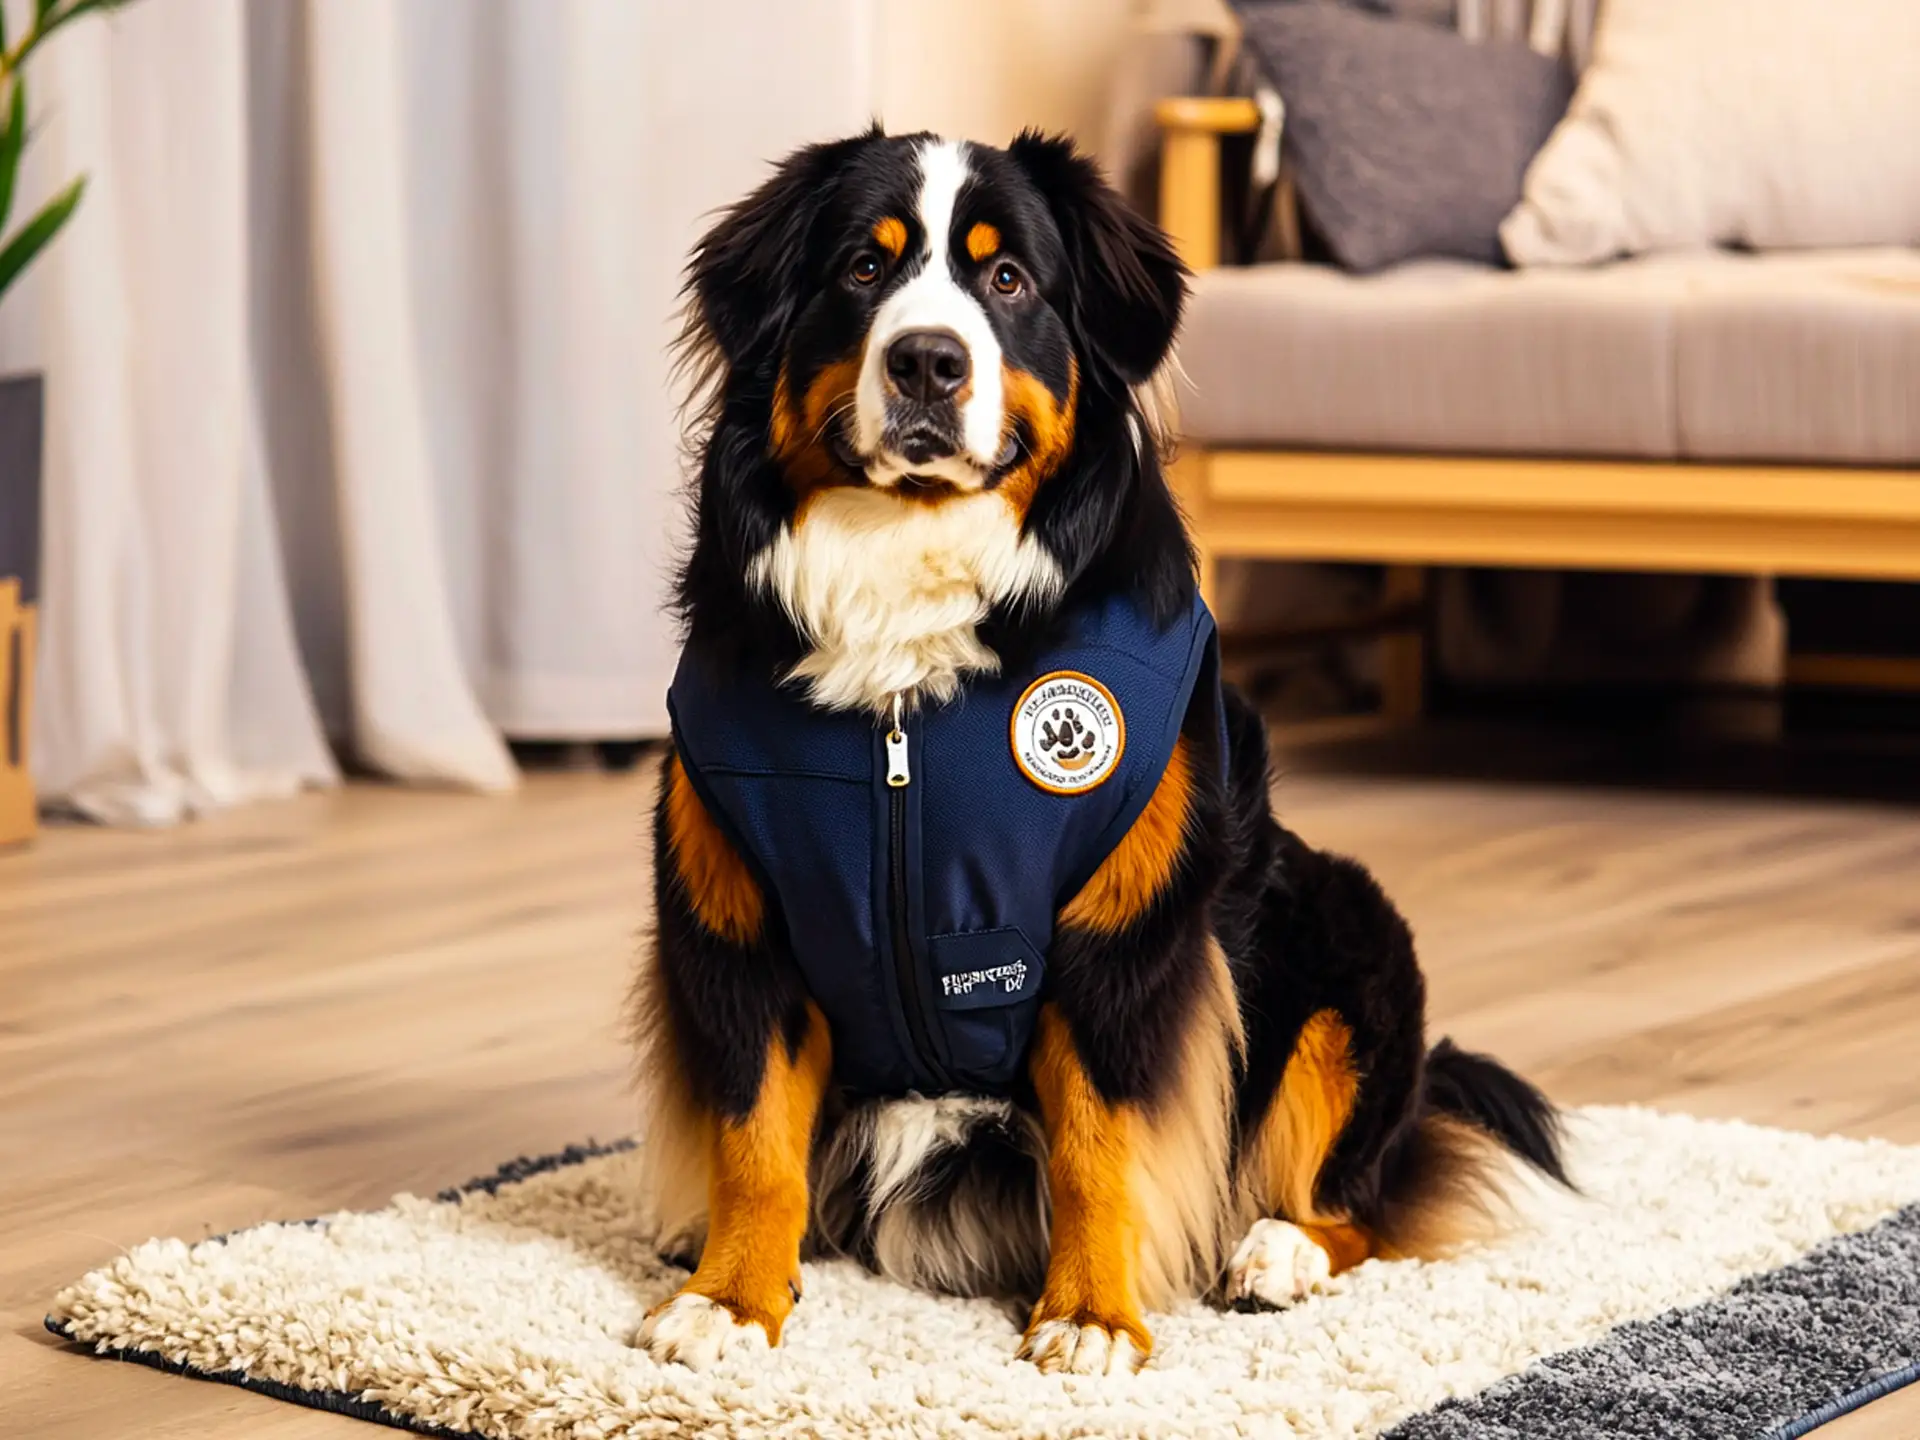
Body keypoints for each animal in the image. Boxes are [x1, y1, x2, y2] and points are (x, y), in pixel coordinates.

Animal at [629, 129, 1559, 1382]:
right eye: (862, 270)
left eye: (1009, 278)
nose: (927, 362)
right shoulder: (733, 915)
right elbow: (755, 1137)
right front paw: (728, 1297)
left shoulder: (1127, 929)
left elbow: (1097, 1142)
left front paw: (1092, 1316)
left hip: (1347, 950)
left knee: (1355, 1194)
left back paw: (1276, 1252)